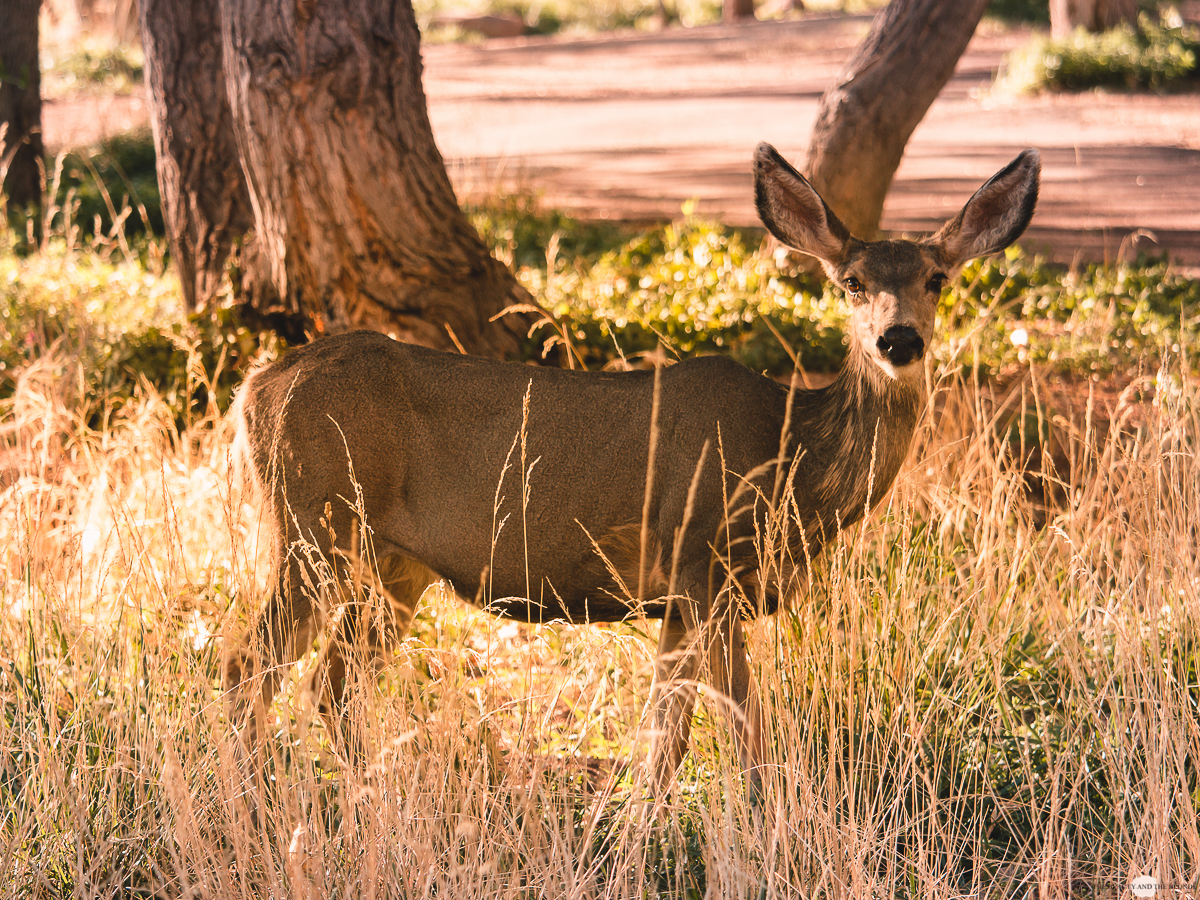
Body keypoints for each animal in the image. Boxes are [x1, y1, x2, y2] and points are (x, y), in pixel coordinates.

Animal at [226, 144, 1041, 792]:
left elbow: (662, 742)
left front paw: (634, 831)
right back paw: (258, 799)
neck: (791, 462)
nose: (898, 340)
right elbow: (744, 738)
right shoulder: (706, 569)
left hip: (394, 562)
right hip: (312, 522)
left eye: (937, 278)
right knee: (247, 666)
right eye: (851, 282)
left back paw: (373, 794)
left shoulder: (680, 600)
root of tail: (256, 387)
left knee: (331, 682)